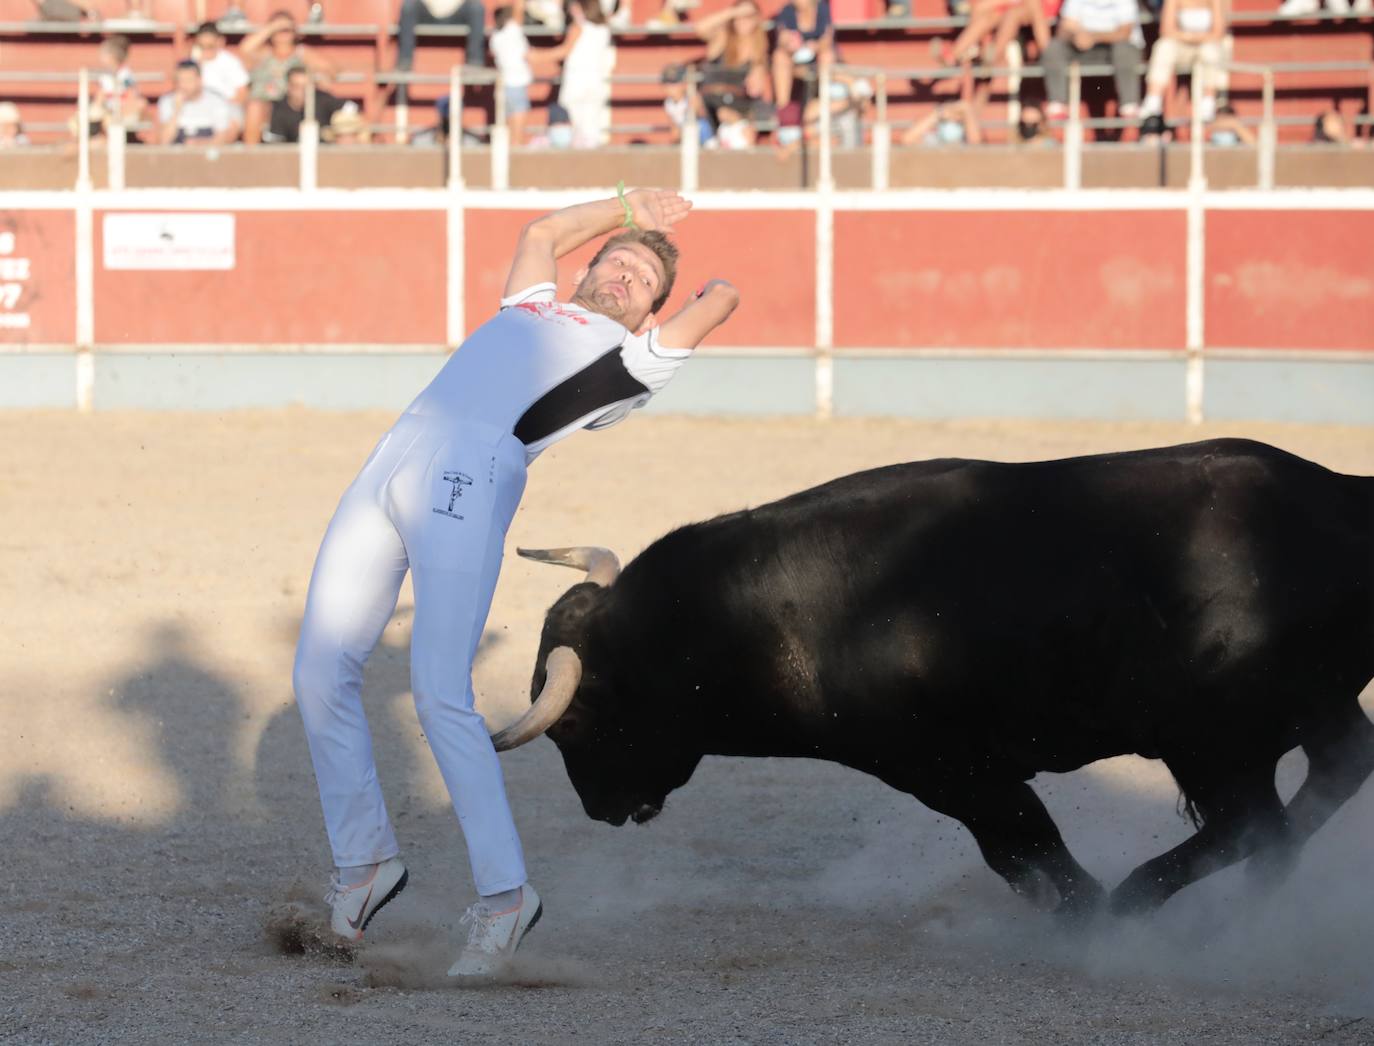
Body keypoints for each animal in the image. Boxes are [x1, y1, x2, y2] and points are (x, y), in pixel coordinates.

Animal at [489, 439, 1368, 912]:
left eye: (576, 722)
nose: (598, 809)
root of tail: (1335, 497)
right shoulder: (957, 776)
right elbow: (1020, 857)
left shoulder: (957, 770)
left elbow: (1027, 848)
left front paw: (1088, 918)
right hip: (1301, 713)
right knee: (1326, 778)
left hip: (1214, 742)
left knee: (1255, 824)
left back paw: (1148, 905)